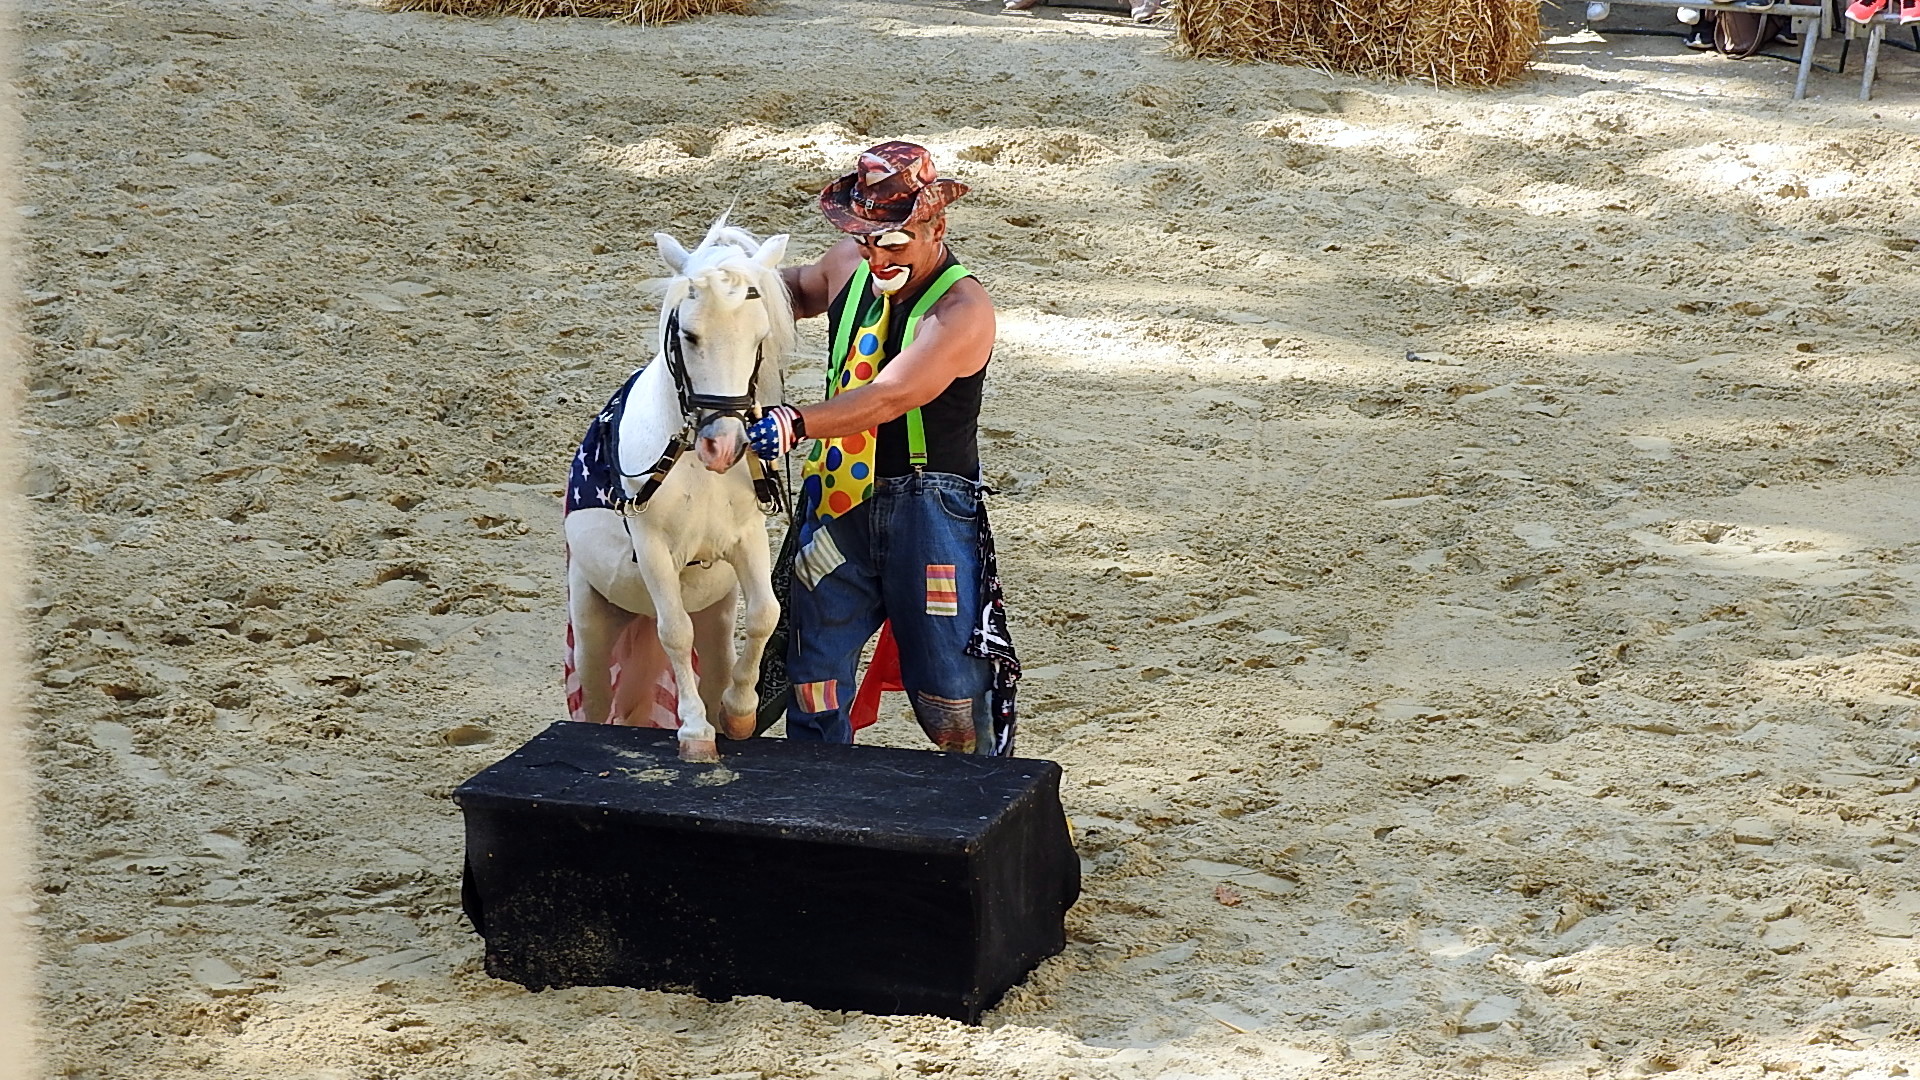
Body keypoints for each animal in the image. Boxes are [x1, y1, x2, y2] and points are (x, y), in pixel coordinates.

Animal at [562, 217, 795, 762]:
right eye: (689, 335)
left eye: (760, 336)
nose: (724, 445)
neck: (691, 466)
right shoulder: (653, 550)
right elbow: (674, 631)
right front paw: (693, 731)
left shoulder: (747, 538)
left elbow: (765, 614)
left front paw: (739, 711)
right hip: (592, 626)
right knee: (598, 700)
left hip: (714, 621)